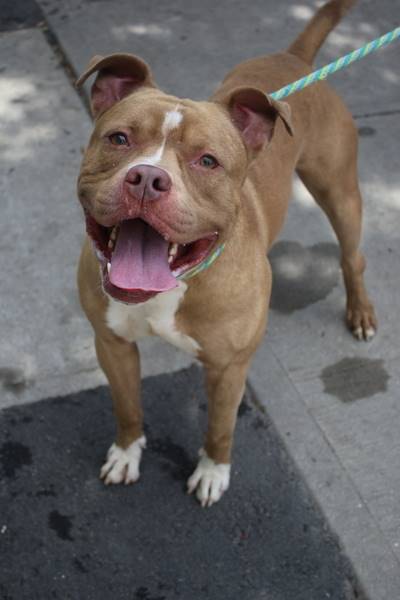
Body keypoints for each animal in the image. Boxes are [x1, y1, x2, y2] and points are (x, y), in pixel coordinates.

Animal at [75, 0, 376, 506]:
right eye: (118, 139)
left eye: (208, 161)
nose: (147, 178)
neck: (174, 285)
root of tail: (294, 58)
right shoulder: (112, 344)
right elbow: (127, 406)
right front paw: (126, 453)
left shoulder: (229, 368)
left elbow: (219, 427)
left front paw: (213, 471)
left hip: (339, 192)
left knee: (352, 256)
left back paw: (360, 312)